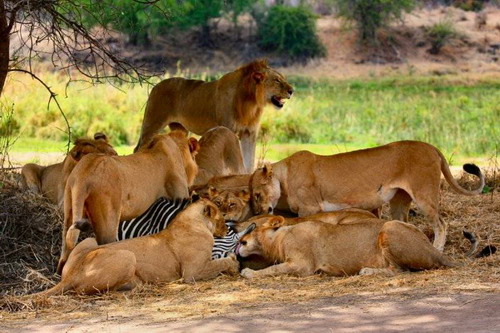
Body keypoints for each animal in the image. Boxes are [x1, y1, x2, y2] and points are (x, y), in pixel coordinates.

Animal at [136, 58, 292, 171]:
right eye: (277, 80)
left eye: (282, 78)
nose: (292, 90)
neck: (251, 102)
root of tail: (156, 85)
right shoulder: (228, 130)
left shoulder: (250, 134)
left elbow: (249, 162)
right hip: (153, 123)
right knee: (139, 148)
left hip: (180, 129)